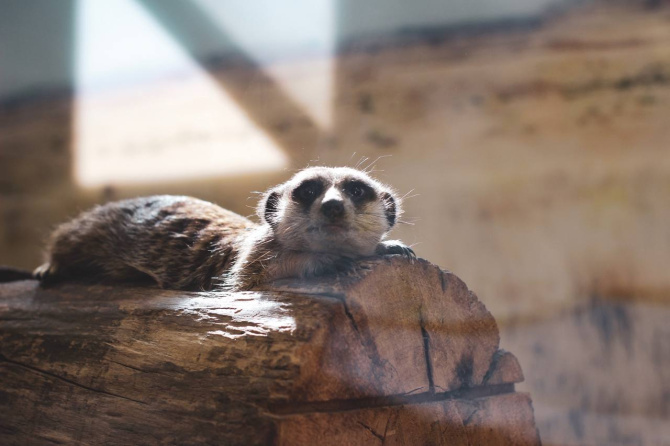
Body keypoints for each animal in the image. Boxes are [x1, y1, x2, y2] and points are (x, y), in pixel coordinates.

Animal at [34, 166, 414, 291]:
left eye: (357, 190)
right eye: (307, 190)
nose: (333, 205)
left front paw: (389, 246)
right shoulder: (251, 261)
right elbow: (253, 279)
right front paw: (328, 260)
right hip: (90, 229)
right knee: (66, 239)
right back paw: (50, 266)